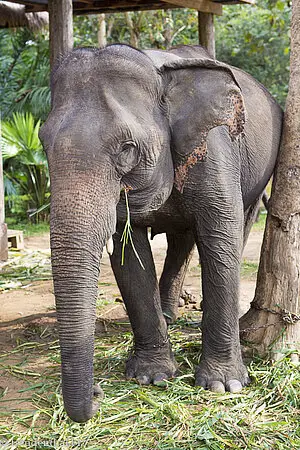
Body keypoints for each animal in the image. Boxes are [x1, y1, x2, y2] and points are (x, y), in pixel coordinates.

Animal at [39, 44, 284, 424]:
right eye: (43, 144)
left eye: (127, 149)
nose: (97, 394)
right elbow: (129, 255)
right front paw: (151, 377)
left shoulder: (215, 150)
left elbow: (221, 238)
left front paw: (223, 385)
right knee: (182, 239)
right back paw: (170, 315)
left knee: (239, 224)